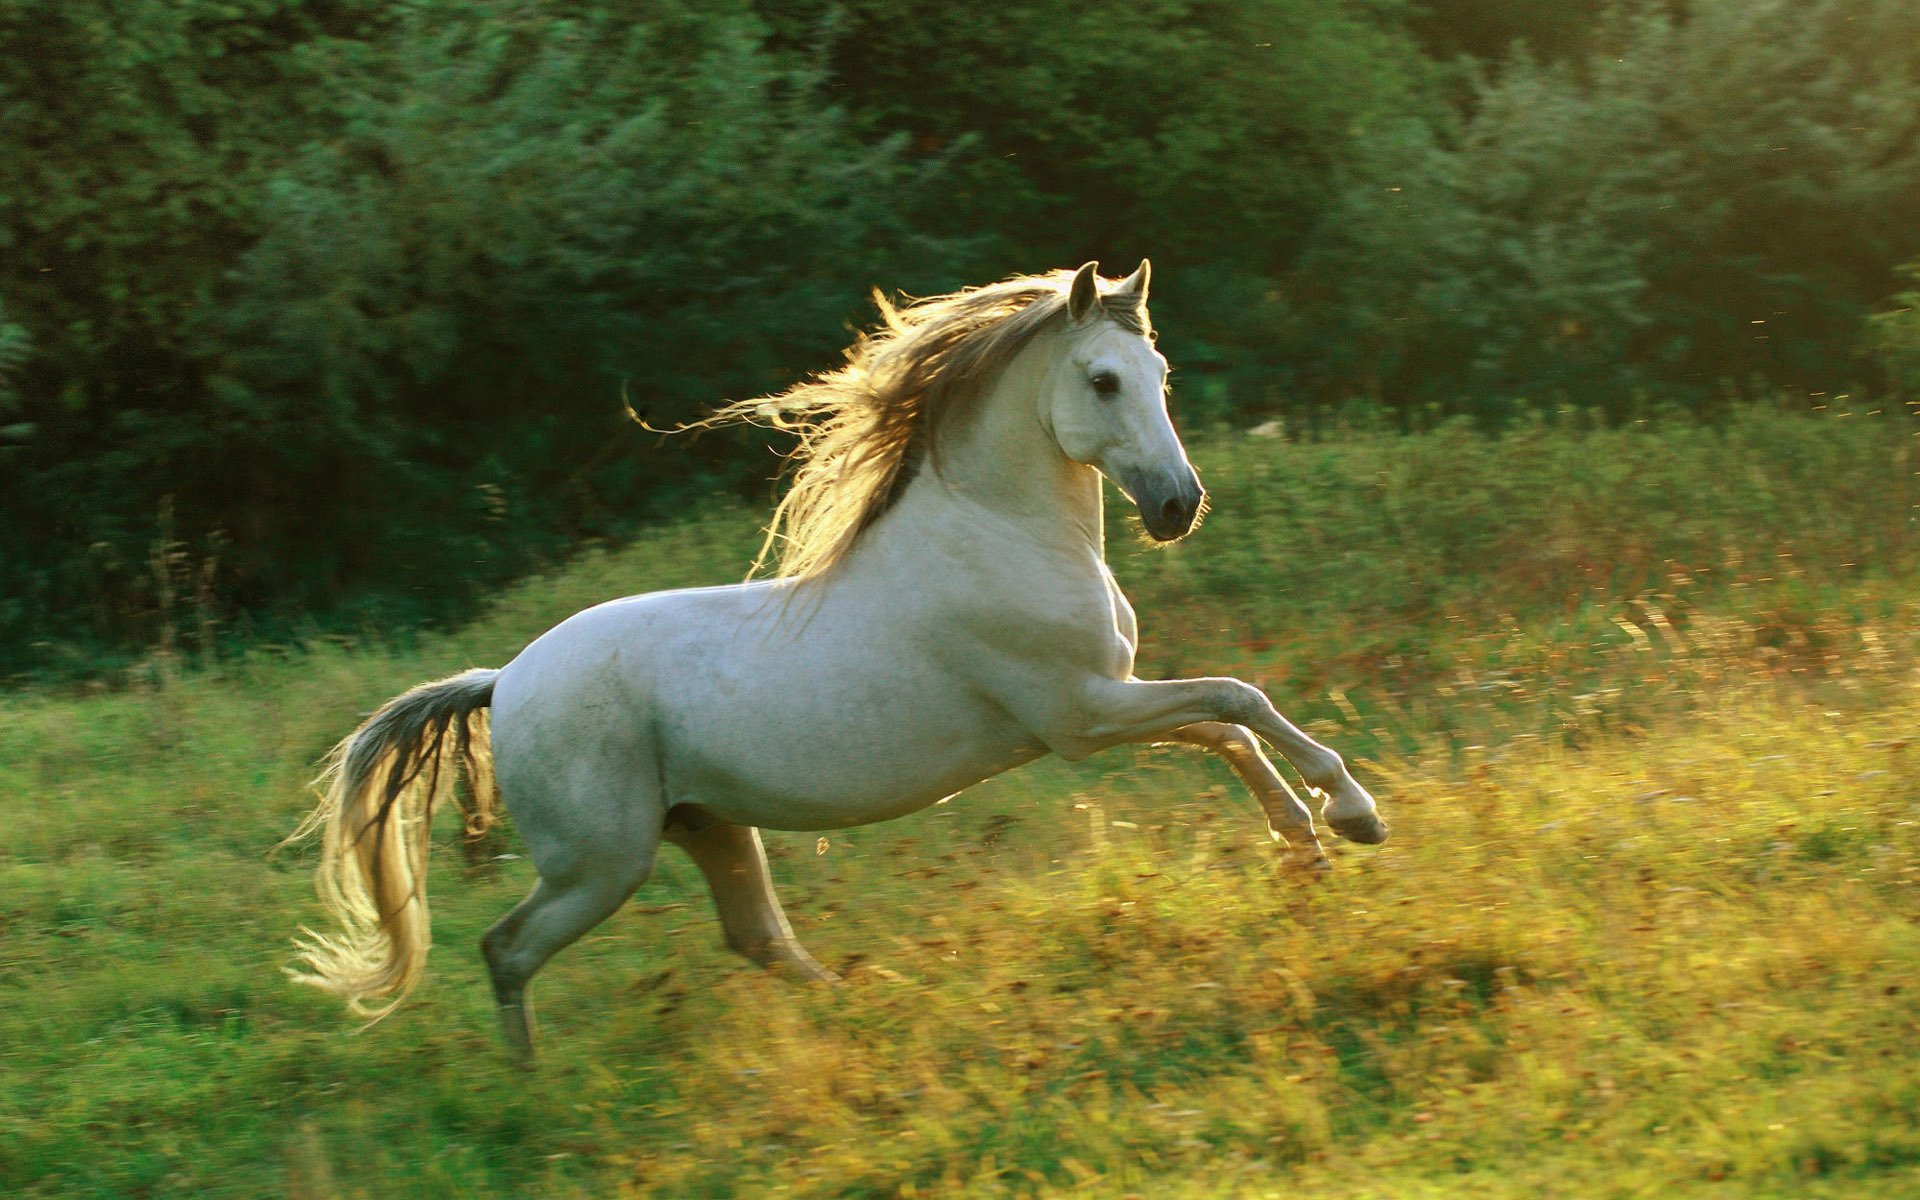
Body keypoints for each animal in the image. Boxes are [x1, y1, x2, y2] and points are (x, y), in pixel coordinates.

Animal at [283, 261, 1388, 1061]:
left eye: (1159, 378)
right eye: (1103, 380)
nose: (1177, 506)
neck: (1000, 533)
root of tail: (503, 681)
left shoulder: (1102, 705)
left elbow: (1227, 728)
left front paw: (1307, 844)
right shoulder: (1081, 715)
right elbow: (1238, 700)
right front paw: (1352, 813)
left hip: (707, 827)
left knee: (756, 939)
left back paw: (868, 1010)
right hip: (601, 862)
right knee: (507, 948)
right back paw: (533, 1084)